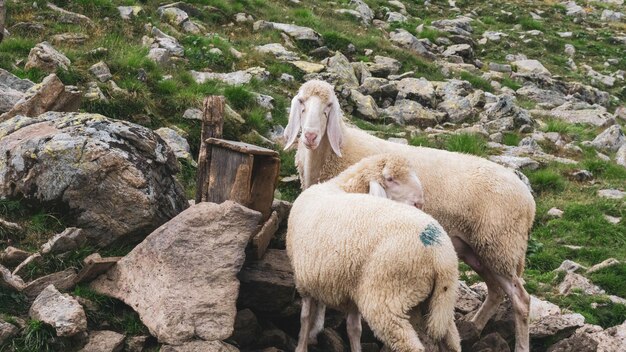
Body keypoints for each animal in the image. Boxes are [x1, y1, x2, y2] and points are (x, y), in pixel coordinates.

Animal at [286, 154, 458, 352]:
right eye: (390, 179)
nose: (419, 203)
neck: (340, 187)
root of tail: (441, 255)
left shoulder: (304, 279)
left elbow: (305, 317)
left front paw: (302, 345)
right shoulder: (347, 286)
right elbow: (352, 328)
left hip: (386, 296)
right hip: (439, 303)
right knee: (450, 340)